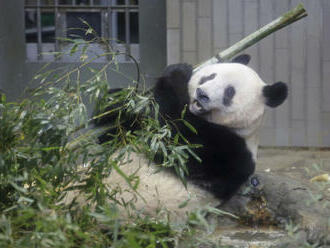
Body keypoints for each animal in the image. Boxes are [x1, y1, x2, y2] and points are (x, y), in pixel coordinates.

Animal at [89, 57, 286, 219]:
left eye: (229, 92)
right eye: (210, 77)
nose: (202, 94)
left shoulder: (229, 151)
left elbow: (174, 143)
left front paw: (178, 73)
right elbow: (128, 123)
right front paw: (115, 102)